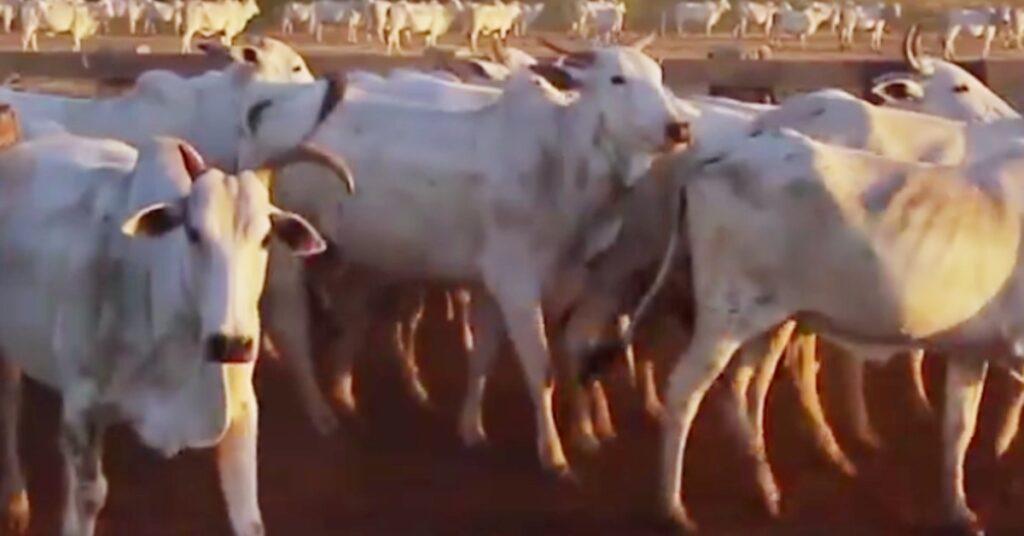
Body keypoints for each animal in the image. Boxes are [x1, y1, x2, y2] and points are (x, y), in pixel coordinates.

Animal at [0, 131, 349, 536]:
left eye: (265, 238)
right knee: (10, 407)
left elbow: (249, 517)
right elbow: (88, 498)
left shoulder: (241, 411)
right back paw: (15, 501)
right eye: (193, 232)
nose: (231, 343)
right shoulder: (83, 405)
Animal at [236, 37, 690, 474]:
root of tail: (266, 109)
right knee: (291, 328)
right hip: (285, 255)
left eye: (659, 76)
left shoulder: (494, 287)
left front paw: (472, 428)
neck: (560, 161)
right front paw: (554, 455)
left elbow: (483, 357)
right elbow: (540, 370)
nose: (680, 127)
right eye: (617, 79)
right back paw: (321, 414)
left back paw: (344, 395)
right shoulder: (518, 285)